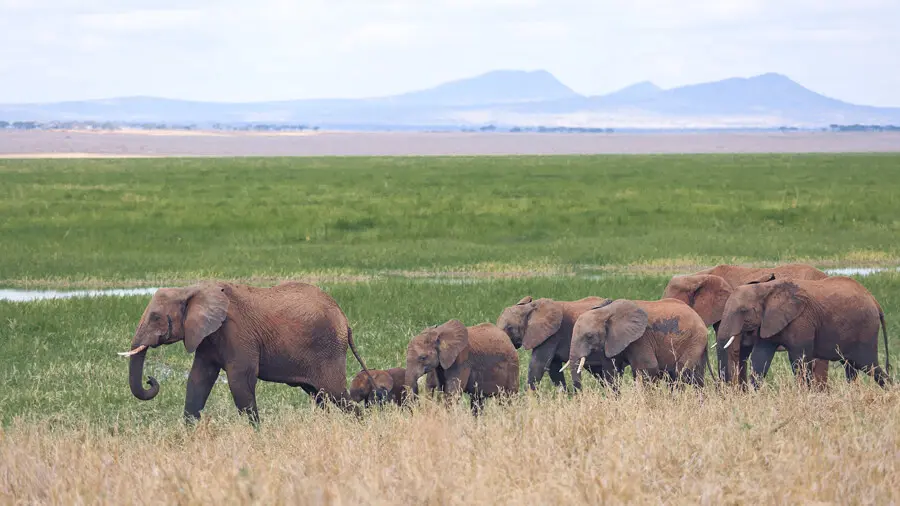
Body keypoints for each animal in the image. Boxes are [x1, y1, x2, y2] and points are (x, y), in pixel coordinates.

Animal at [119, 281, 372, 424]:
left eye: (155, 317)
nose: (150, 380)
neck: (191, 290)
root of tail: (345, 320)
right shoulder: (208, 336)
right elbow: (198, 379)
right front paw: (187, 436)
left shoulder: (236, 332)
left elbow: (240, 380)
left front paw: (257, 436)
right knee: (320, 396)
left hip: (328, 350)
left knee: (337, 395)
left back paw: (361, 429)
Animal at [564, 298, 710, 388]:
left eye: (589, 336)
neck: (606, 310)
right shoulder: (614, 340)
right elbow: (612, 372)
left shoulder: (641, 339)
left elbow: (648, 368)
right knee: (697, 378)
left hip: (694, 340)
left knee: (680, 372)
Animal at [716, 276, 891, 388]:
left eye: (743, 311)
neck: (765, 288)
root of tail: (875, 301)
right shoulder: (768, 322)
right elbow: (761, 357)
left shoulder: (801, 320)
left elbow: (799, 359)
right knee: (851, 366)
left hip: (866, 330)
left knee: (868, 365)